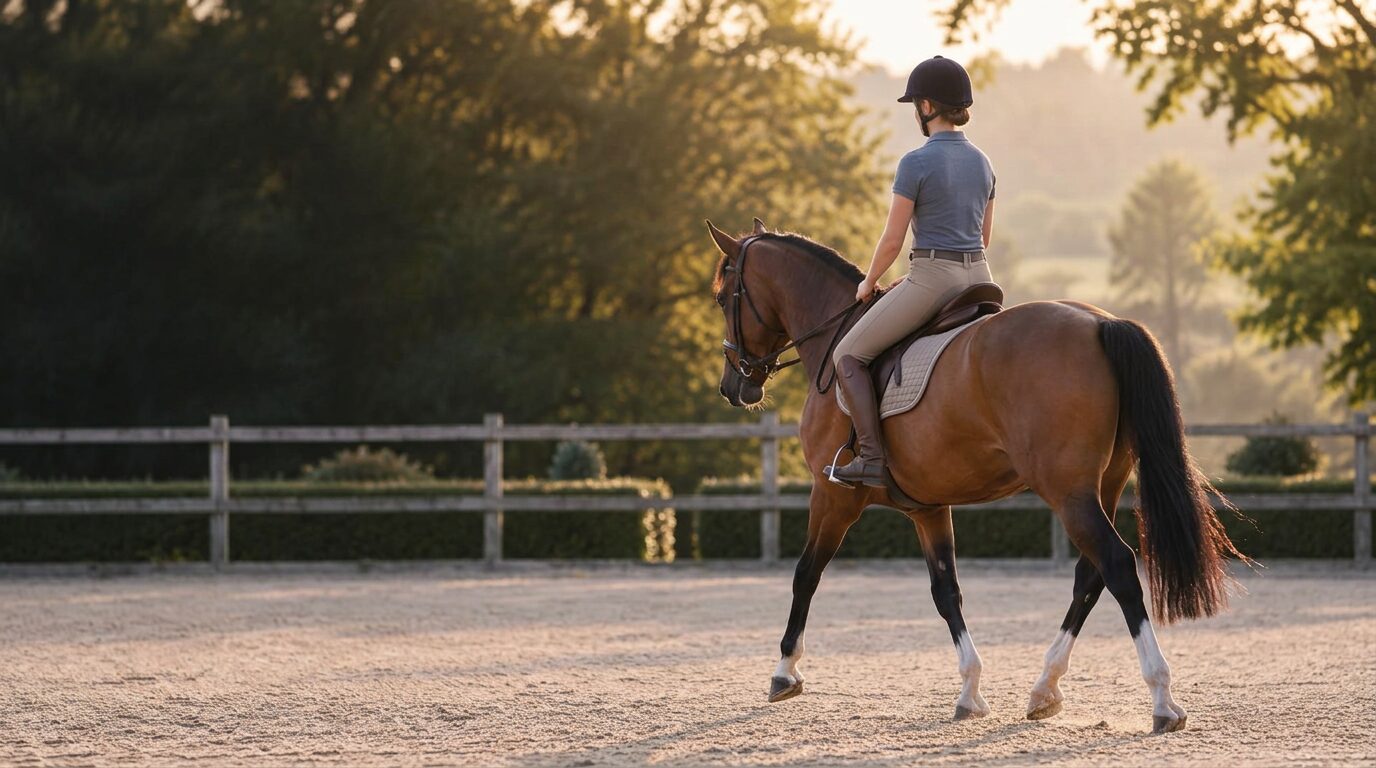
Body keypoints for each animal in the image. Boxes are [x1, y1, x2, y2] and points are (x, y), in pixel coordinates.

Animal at [707, 219, 1245, 734]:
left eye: (721, 296)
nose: (735, 386)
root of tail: (1101, 323)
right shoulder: (927, 508)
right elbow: (947, 592)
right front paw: (969, 692)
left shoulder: (832, 496)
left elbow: (806, 574)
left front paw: (784, 672)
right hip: (1104, 487)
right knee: (1090, 576)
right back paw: (1045, 689)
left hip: (1068, 493)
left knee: (1117, 566)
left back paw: (1162, 699)